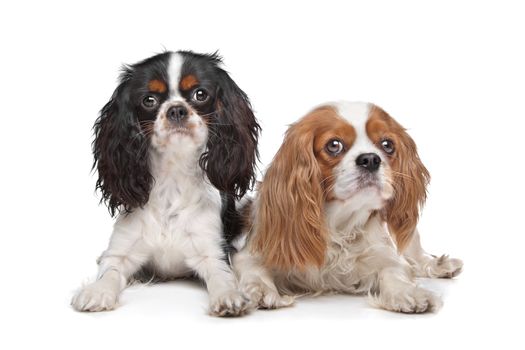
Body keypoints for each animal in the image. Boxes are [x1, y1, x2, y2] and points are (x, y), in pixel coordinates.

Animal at [233, 102, 462, 314]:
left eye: (387, 144)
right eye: (334, 145)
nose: (370, 159)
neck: (340, 224)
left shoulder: (385, 255)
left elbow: (395, 271)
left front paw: (408, 293)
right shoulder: (254, 253)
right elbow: (254, 271)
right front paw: (262, 292)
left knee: (417, 254)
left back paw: (440, 265)